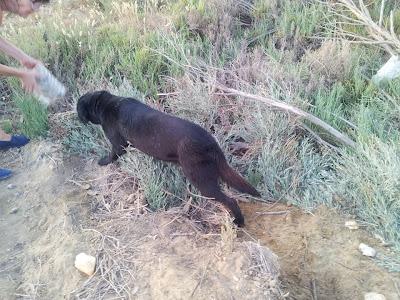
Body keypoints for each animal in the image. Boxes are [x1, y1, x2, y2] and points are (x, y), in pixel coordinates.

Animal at [77, 90, 260, 226]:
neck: (107, 104)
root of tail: (211, 142)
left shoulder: (118, 144)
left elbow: (112, 154)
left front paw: (103, 162)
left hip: (201, 179)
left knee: (230, 201)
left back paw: (238, 222)